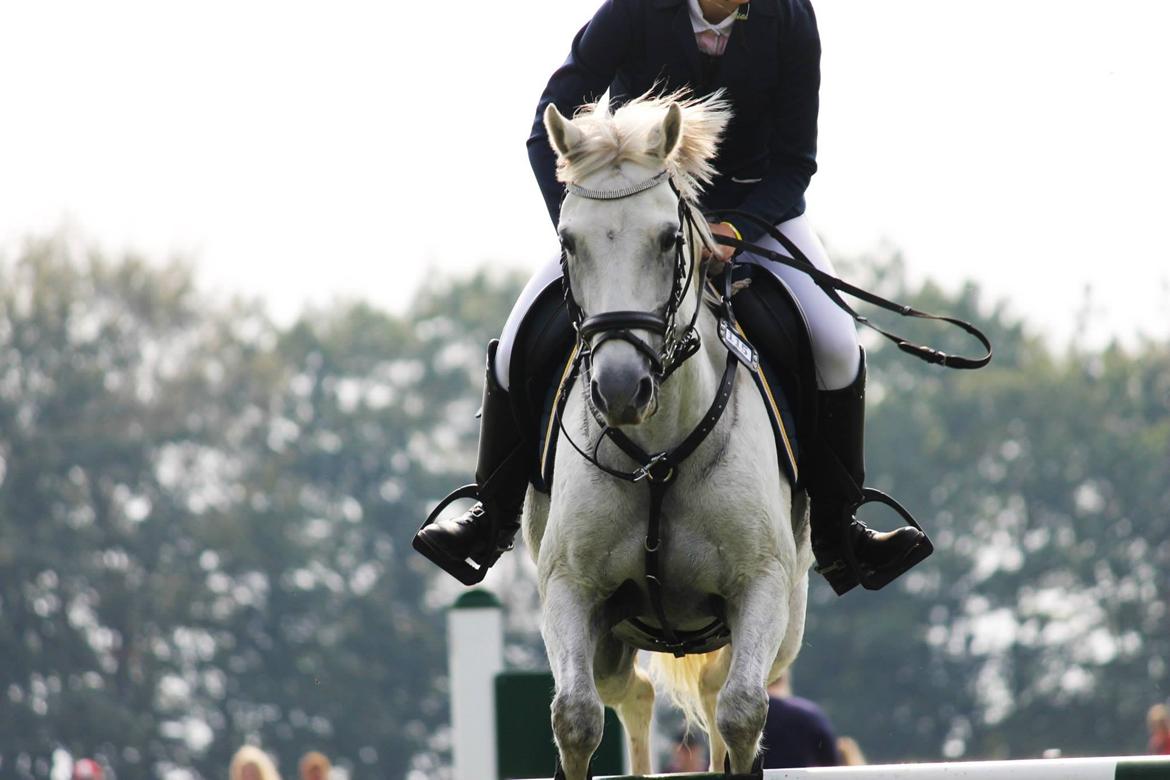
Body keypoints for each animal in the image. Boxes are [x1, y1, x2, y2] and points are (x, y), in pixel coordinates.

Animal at [521, 91, 815, 779]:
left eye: (668, 238)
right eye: (568, 241)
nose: (619, 390)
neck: (656, 456)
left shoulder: (761, 586)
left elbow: (742, 712)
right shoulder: (569, 589)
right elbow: (575, 718)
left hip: (782, 623)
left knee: (715, 695)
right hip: (613, 641)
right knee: (633, 692)